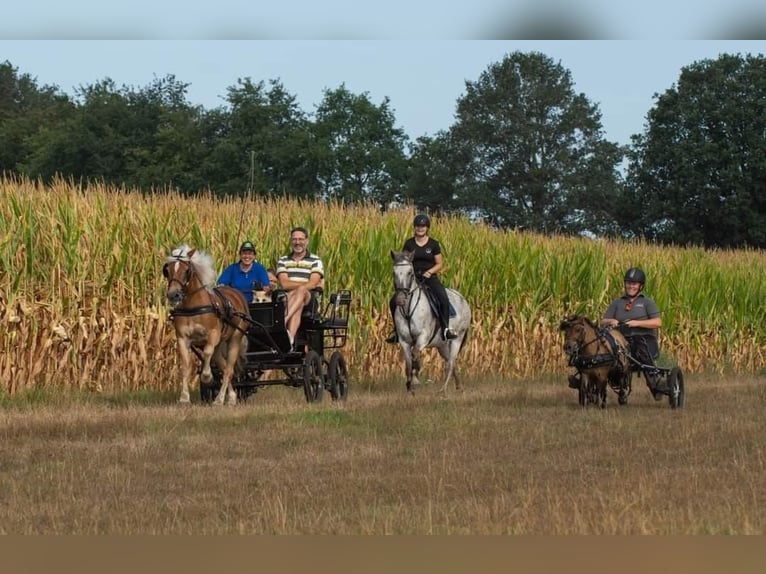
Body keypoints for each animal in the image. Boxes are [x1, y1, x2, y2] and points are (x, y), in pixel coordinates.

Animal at [164, 245, 250, 408]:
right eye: (167, 270)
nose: (173, 295)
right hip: (220, 345)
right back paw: (232, 397)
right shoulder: (182, 338)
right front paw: (184, 398)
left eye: (187, 270)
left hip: (235, 338)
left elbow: (207, 353)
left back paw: (219, 399)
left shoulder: (213, 335)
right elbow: (185, 366)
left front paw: (207, 377)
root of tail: (237, 294)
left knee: (228, 370)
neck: (193, 307)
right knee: (224, 367)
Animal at [392, 252, 472, 396]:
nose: (400, 299)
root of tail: (463, 299)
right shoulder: (404, 341)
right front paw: (410, 388)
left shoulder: (423, 337)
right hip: (442, 345)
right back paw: (459, 387)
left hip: (457, 339)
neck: (408, 310)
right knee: (451, 362)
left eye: (410, 272)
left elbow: (415, 354)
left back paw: (443, 391)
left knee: (451, 363)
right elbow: (408, 363)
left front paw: (415, 380)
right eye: (394, 272)